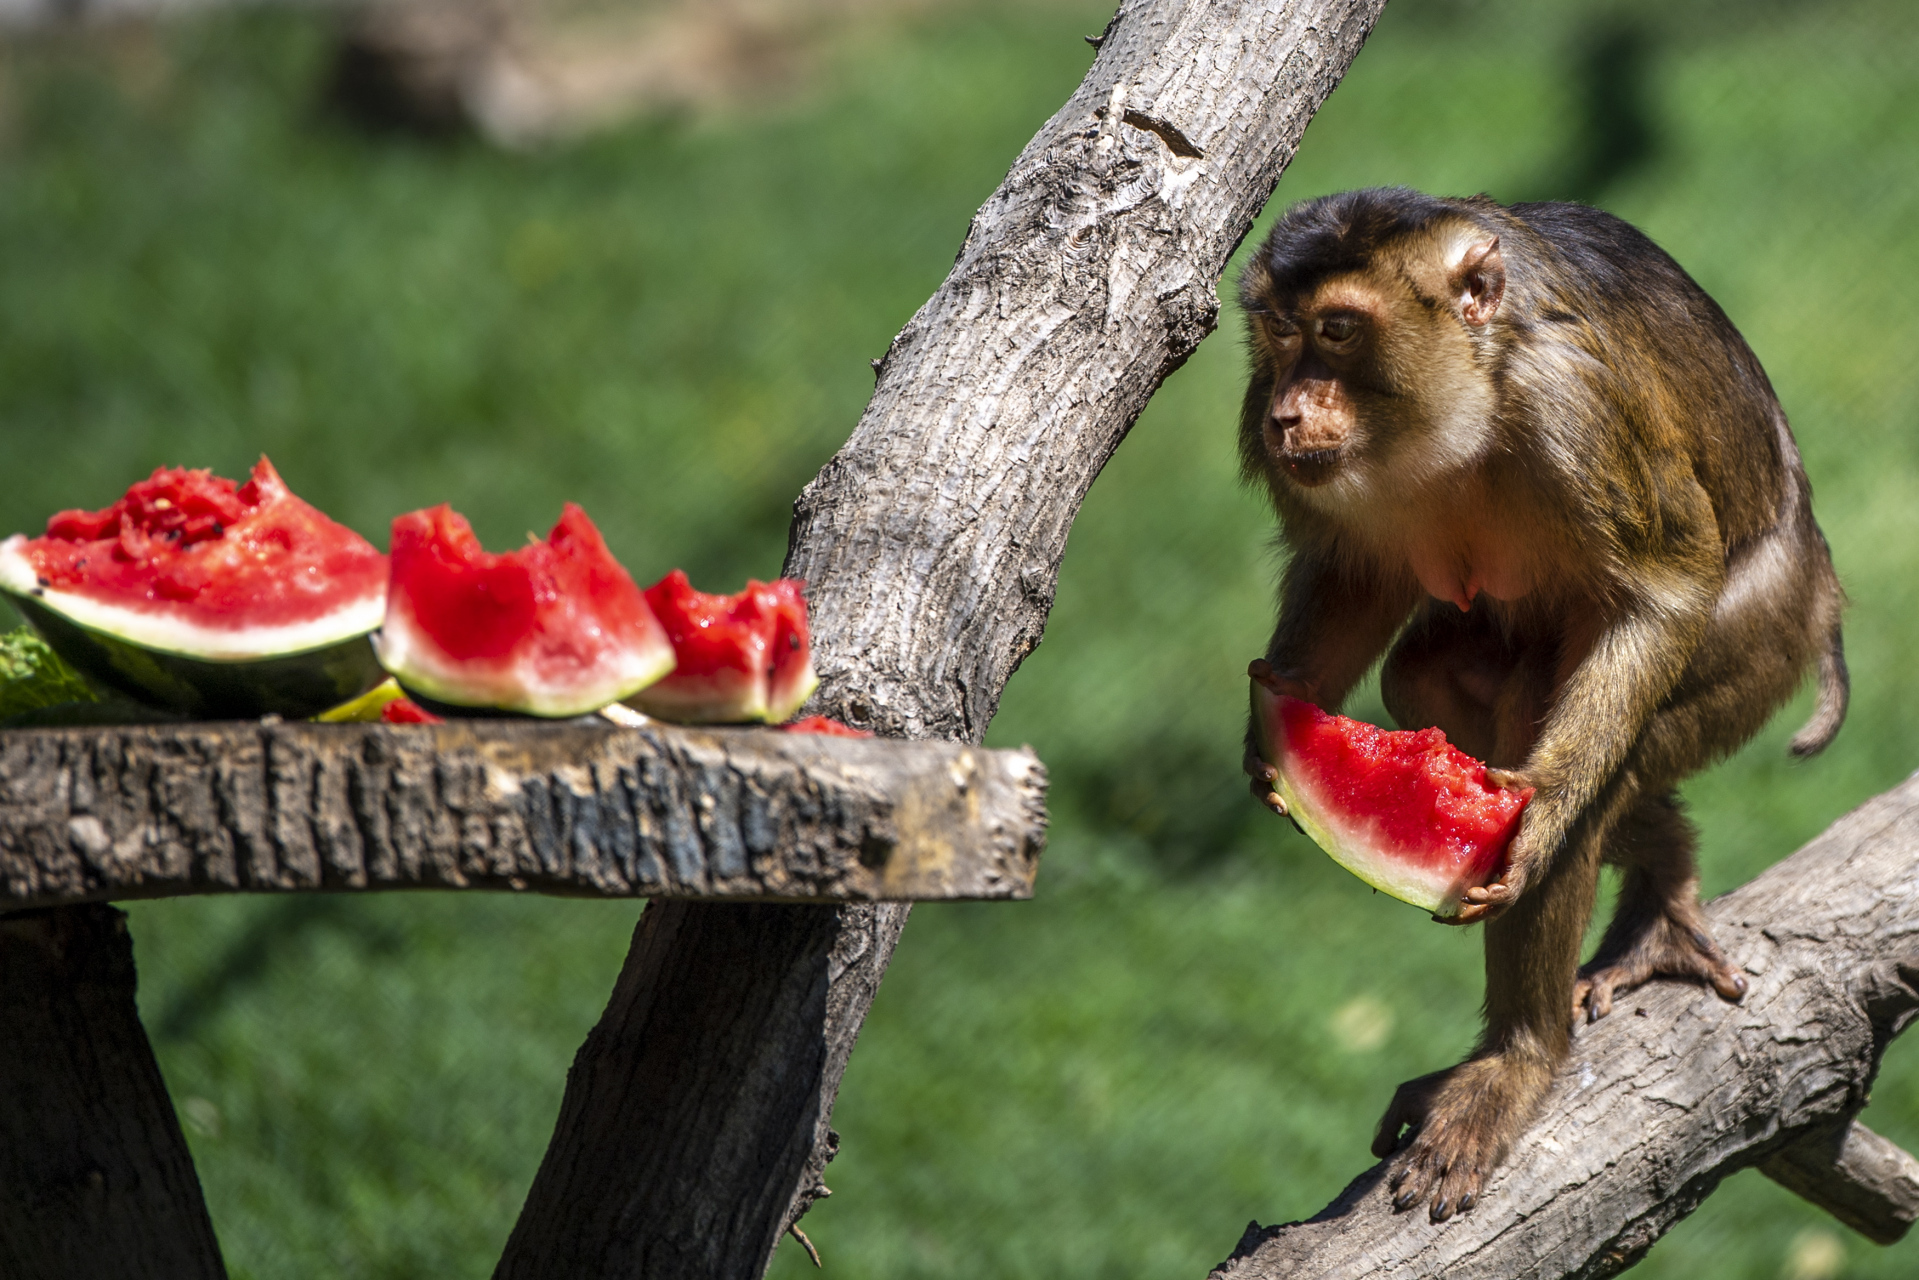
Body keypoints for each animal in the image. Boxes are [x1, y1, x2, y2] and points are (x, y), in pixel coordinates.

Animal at [1235, 188, 1849, 1220]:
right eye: (1278, 335)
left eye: (1337, 331)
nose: (1283, 410)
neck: (1472, 397)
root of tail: (1820, 585)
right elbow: (1356, 575)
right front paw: (1276, 723)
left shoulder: (1574, 408)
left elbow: (1661, 591)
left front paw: (1542, 816)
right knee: (1435, 679)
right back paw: (1663, 867)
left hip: (1757, 639)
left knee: (1606, 748)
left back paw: (1518, 1058)